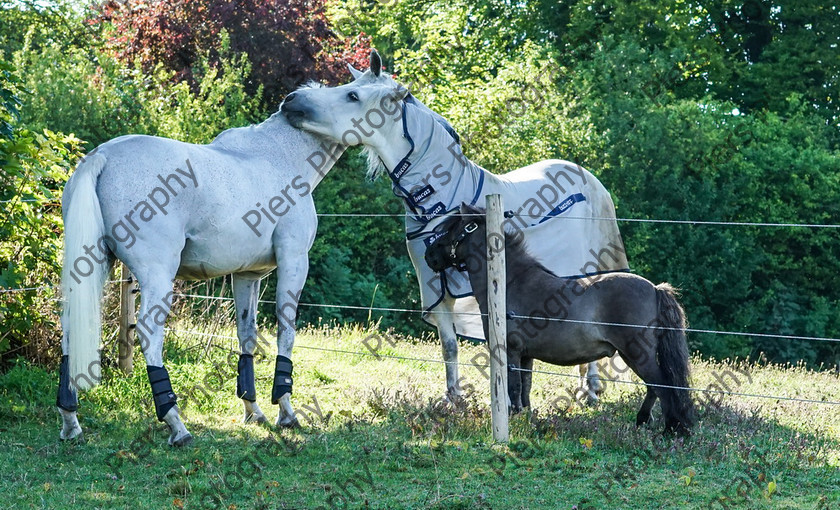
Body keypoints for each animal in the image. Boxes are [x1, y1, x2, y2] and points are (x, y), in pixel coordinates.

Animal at [58, 102, 344, 442]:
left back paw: (70, 420)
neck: (277, 159)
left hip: (90, 268)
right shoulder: (294, 261)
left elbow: (246, 335)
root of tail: (102, 155)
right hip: (158, 278)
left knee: (69, 326)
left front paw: (253, 410)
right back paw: (176, 424)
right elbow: (285, 332)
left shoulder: (247, 276)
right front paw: (286, 412)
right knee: (148, 332)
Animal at [282, 50, 632, 402]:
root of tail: (587, 177)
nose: (289, 101)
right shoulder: (437, 293)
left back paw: (589, 390)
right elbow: (449, 346)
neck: (438, 200)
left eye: (352, 95)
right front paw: (453, 398)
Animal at [426, 203, 696, 434]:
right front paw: (526, 419)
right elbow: (525, 389)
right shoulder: (526, 356)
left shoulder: (511, 352)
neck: (508, 283)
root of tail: (655, 289)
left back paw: (671, 429)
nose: (430, 255)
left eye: (452, 228)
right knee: (654, 387)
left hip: (637, 354)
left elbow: (513, 388)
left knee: (662, 386)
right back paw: (644, 423)